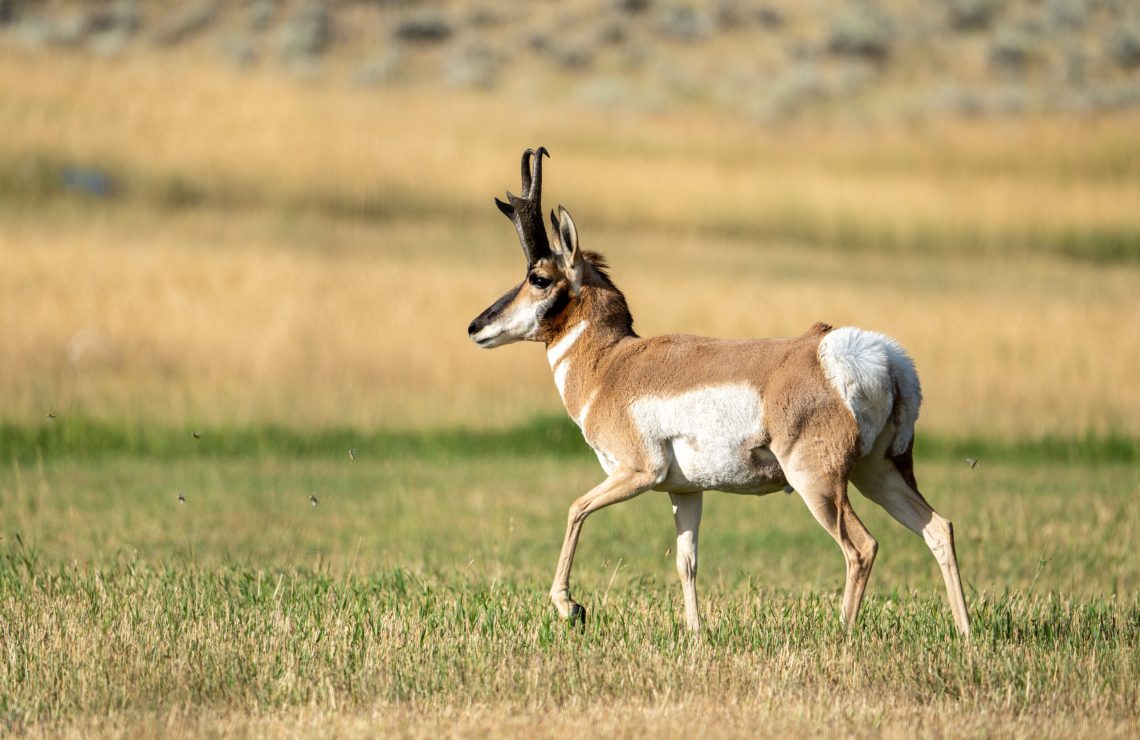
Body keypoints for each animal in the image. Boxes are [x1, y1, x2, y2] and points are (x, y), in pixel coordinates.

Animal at [468, 148, 970, 637]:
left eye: (538, 278)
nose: (476, 327)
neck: (612, 364)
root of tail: (863, 353)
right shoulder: (685, 491)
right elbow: (687, 561)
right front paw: (695, 635)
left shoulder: (637, 473)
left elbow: (575, 509)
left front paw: (570, 607)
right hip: (879, 471)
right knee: (938, 528)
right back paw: (965, 634)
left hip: (818, 482)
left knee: (862, 546)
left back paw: (842, 635)